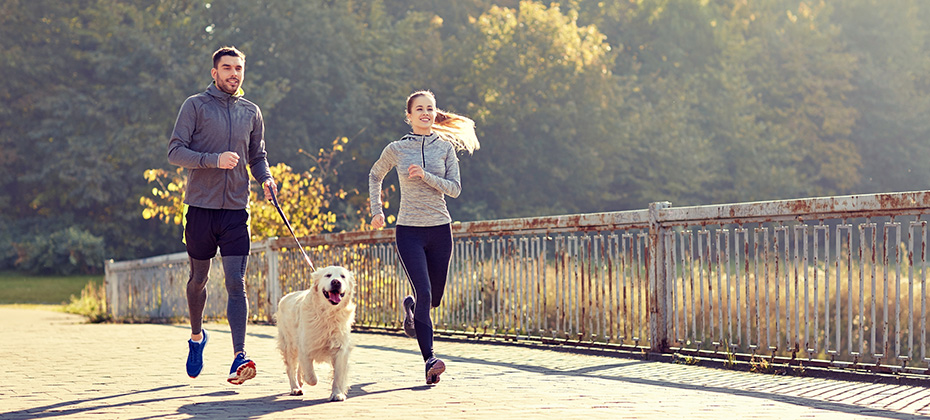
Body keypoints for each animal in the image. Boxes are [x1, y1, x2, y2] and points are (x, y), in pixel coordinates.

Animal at [276, 266, 356, 400]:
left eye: (343, 276)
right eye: (328, 275)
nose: (336, 282)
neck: (328, 314)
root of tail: (286, 296)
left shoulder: (340, 349)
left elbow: (338, 375)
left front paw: (337, 394)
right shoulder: (305, 346)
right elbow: (311, 376)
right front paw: (310, 379)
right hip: (289, 345)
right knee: (291, 369)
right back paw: (295, 388)